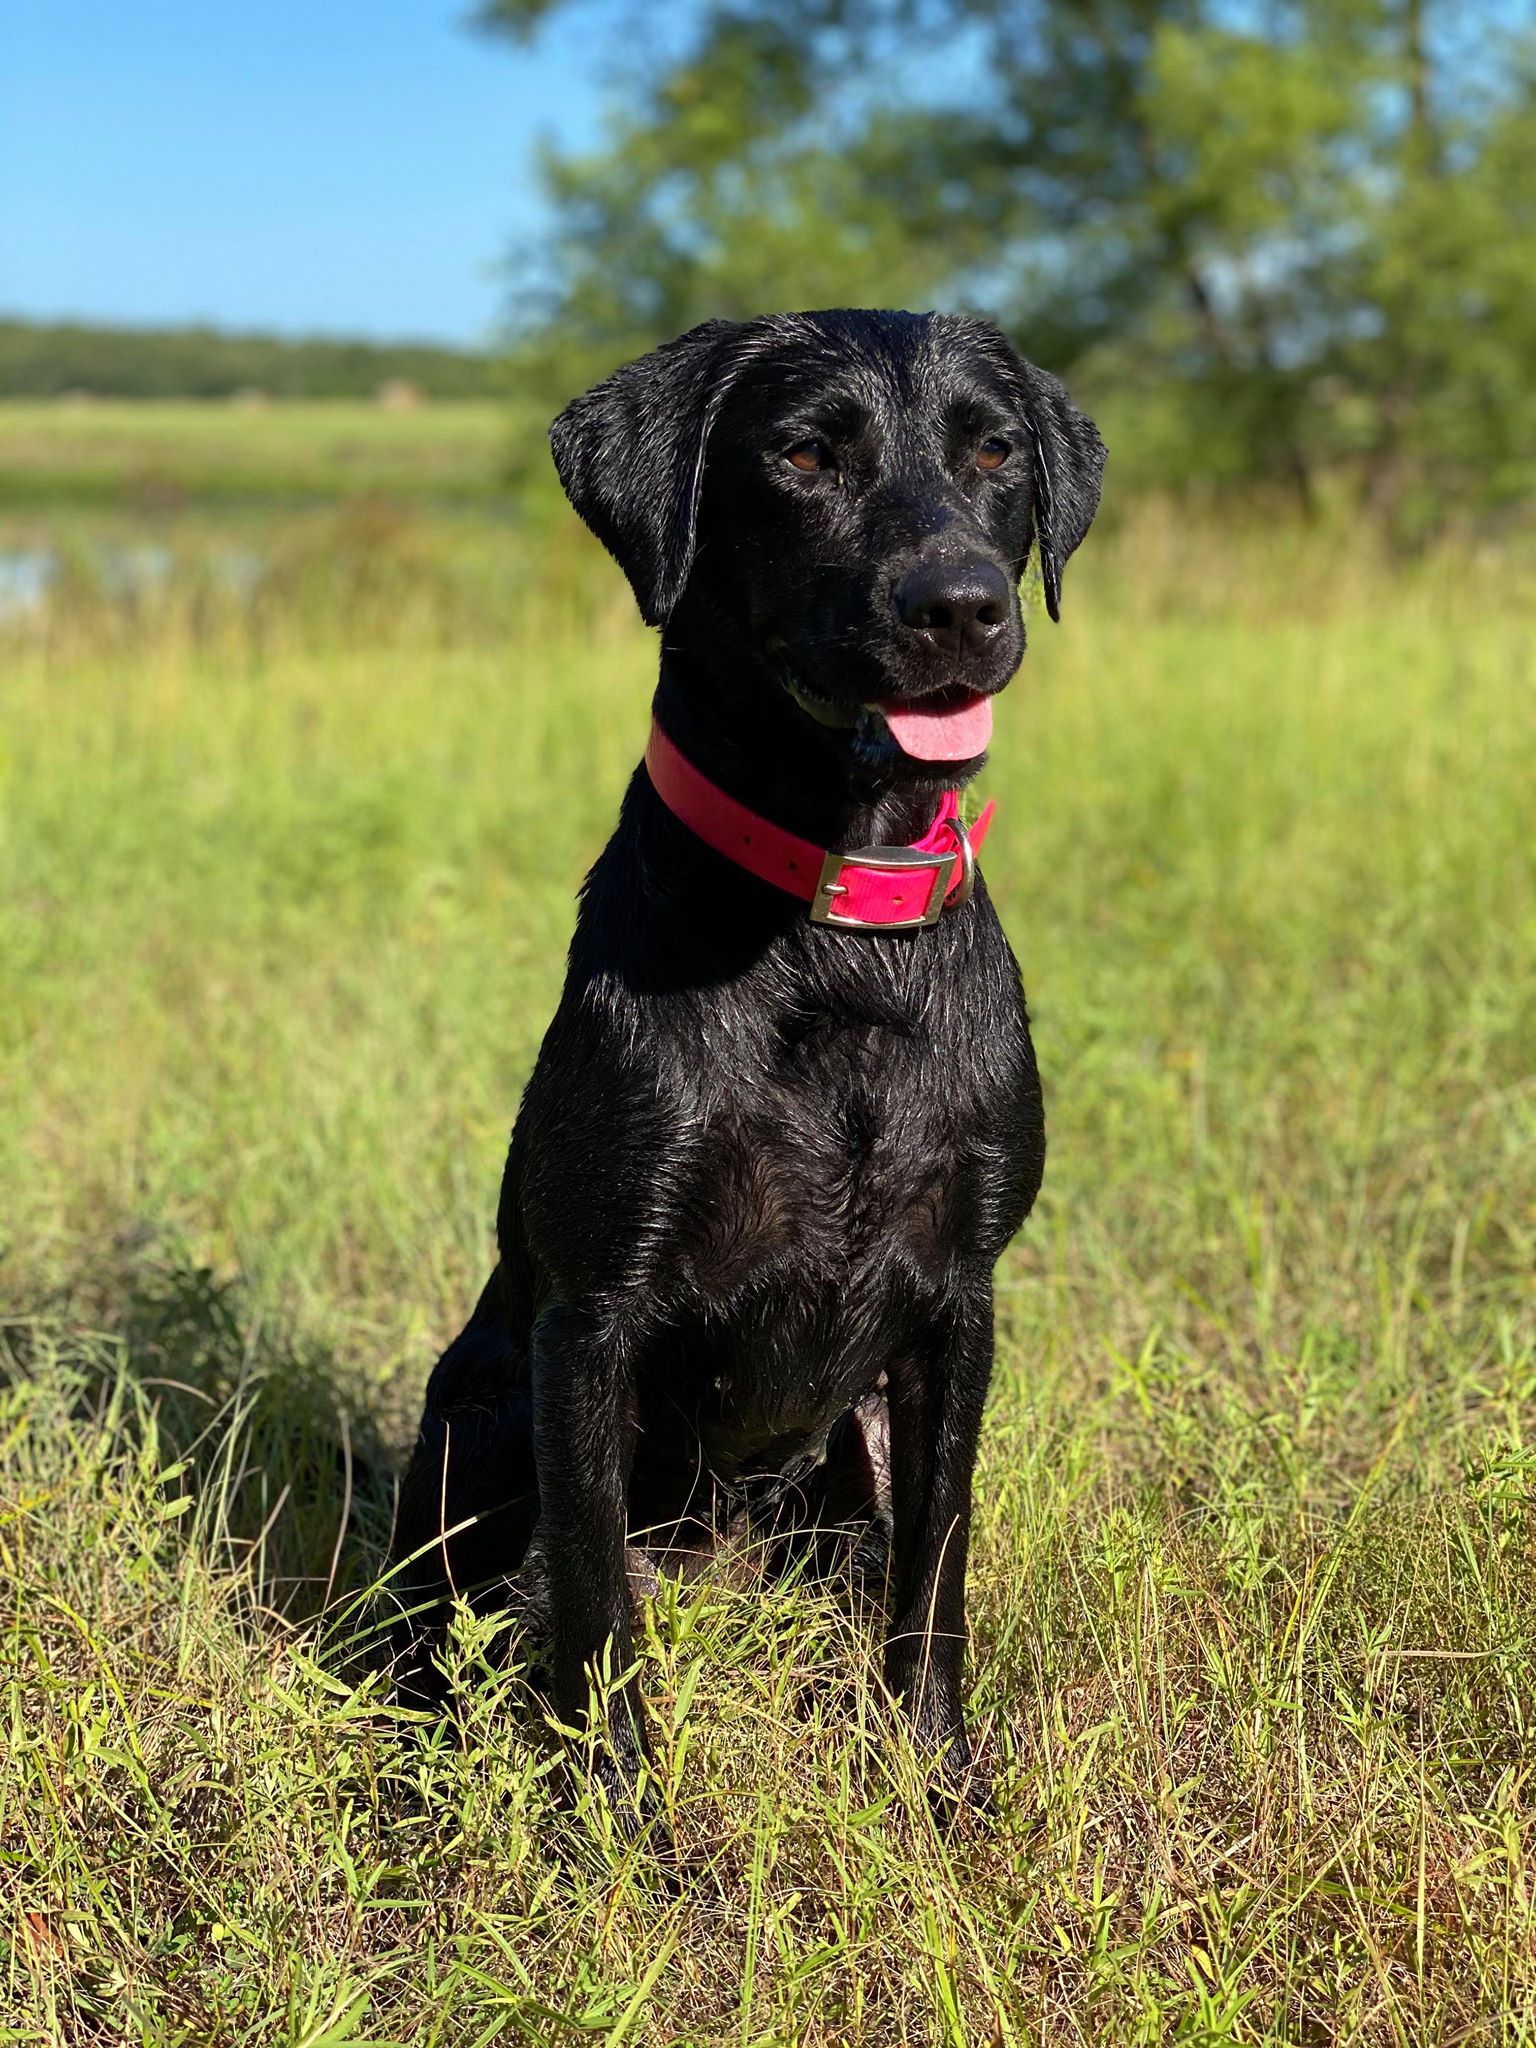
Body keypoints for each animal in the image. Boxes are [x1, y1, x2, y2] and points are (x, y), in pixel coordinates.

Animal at [391, 307, 1097, 1843]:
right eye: (805, 454)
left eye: (994, 452)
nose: (962, 606)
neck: (836, 923)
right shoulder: (590, 1323)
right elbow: (594, 1612)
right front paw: (616, 1822)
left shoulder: (958, 1309)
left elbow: (935, 1580)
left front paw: (936, 1780)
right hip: (480, 1410)